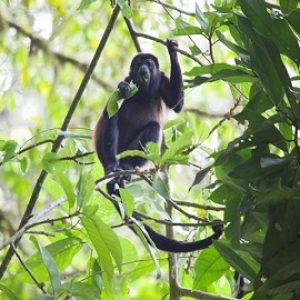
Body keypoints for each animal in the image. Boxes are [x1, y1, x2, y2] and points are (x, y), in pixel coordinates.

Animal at [95, 38, 224, 252]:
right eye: (139, 63)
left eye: (149, 63)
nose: (144, 68)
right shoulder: (126, 80)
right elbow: (114, 104)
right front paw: (123, 88)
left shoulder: (162, 80)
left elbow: (176, 104)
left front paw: (172, 50)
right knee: (111, 117)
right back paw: (113, 167)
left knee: (154, 127)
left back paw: (128, 167)